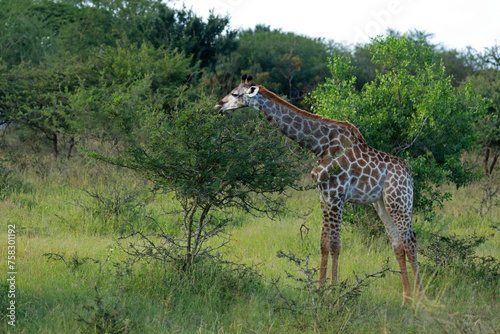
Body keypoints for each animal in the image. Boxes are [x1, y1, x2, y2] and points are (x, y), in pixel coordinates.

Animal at [216, 74, 426, 304]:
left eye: (235, 93)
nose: (218, 105)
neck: (320, 145)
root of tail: (409, 176)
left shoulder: (336, 194)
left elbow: (335, 244)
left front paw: (333, 295)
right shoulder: (324, 194)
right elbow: (324, 243)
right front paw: (319, 291)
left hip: (399, 201)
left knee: (410, 242)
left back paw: (420, 300)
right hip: (381, 204)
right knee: (397, 243)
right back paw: (406, 300)